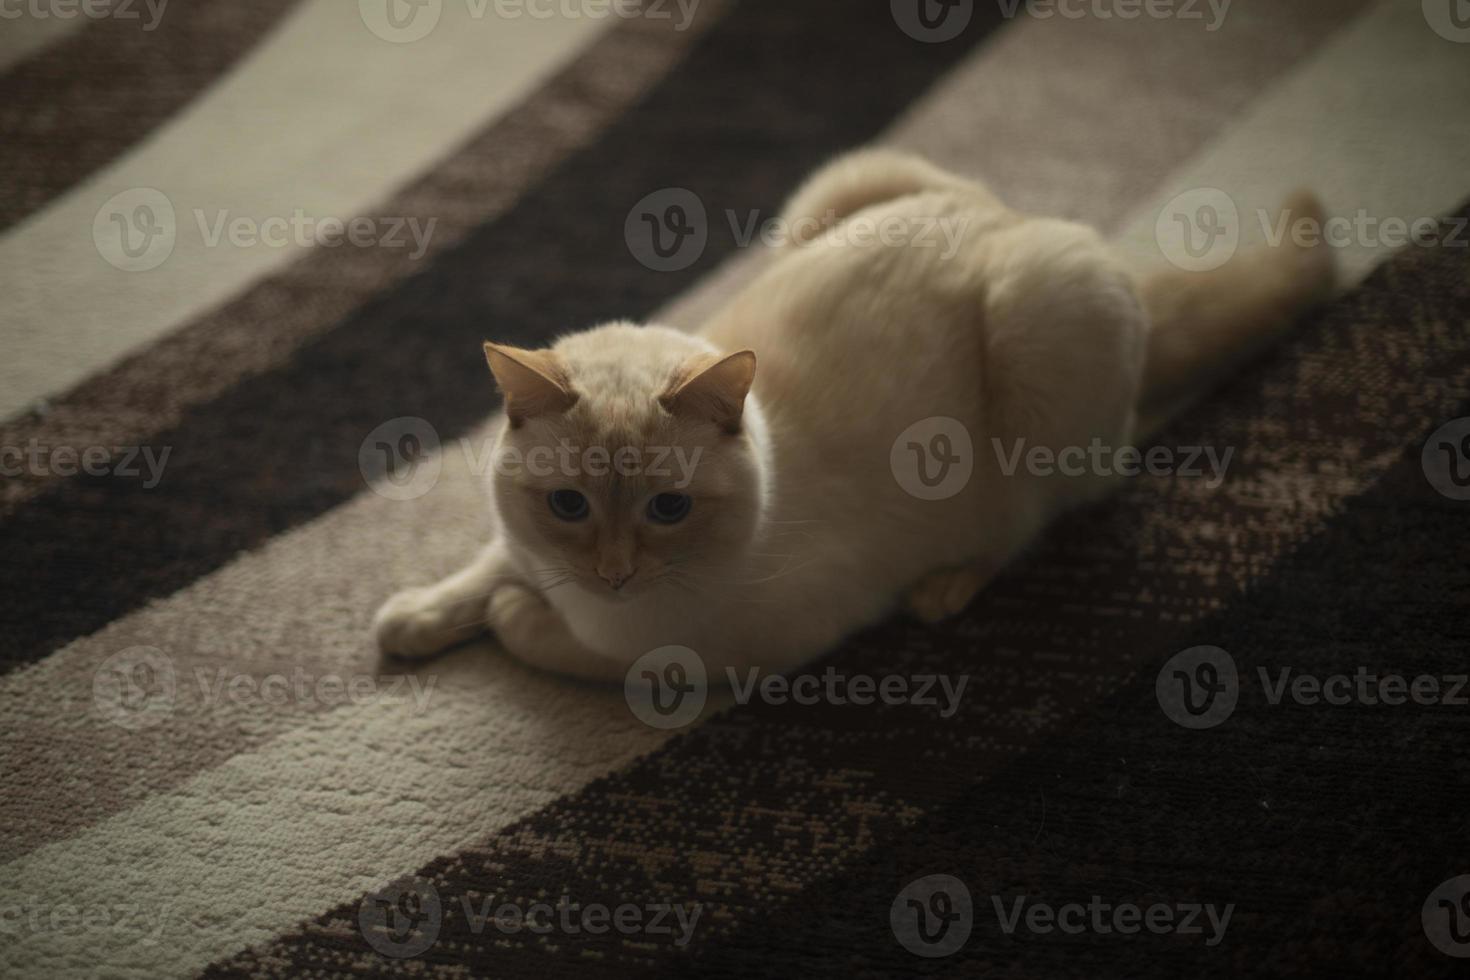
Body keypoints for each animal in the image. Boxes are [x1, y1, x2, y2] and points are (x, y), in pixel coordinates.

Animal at [370, 149, 1334, 681]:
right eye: (567, 506)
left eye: (668, 510)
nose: (611, 575)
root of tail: (1024, 221)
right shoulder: (522, 546)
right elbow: (479, 571)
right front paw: (408, 623)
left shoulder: (728, 654)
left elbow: (559, 642)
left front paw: (513, 619)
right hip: (839, 188)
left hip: (1042, 330)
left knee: (1048, 508)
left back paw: (945, 587)